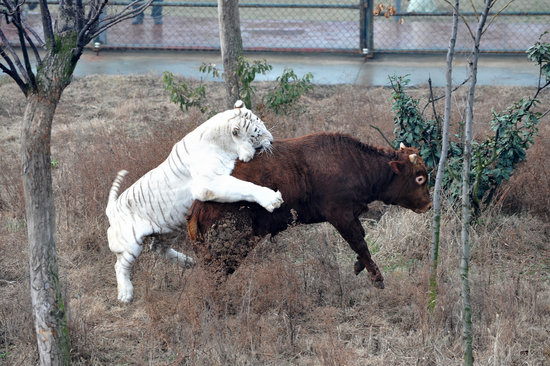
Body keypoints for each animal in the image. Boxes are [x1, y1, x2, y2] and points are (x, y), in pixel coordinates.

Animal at [106, 101, 284, 304]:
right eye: (257, 134)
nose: (272, 141)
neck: (223, 142)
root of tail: (111, 209)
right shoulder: (207, 183)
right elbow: (243, 186)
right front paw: (272, 199)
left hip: (170, 229)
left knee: (158, 248)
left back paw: (188, 262)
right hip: (131, 245)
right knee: (120, 265)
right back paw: (125, 293)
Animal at [188, 132, 434, 288]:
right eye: (419, 177)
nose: (429, 205)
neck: (356, 164)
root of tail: (198, 205)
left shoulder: (350, 216)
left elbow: (361, 239)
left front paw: (359, 265)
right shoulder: (341, 215)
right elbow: (359, 242)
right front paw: (377, 277)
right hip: (231, 249)